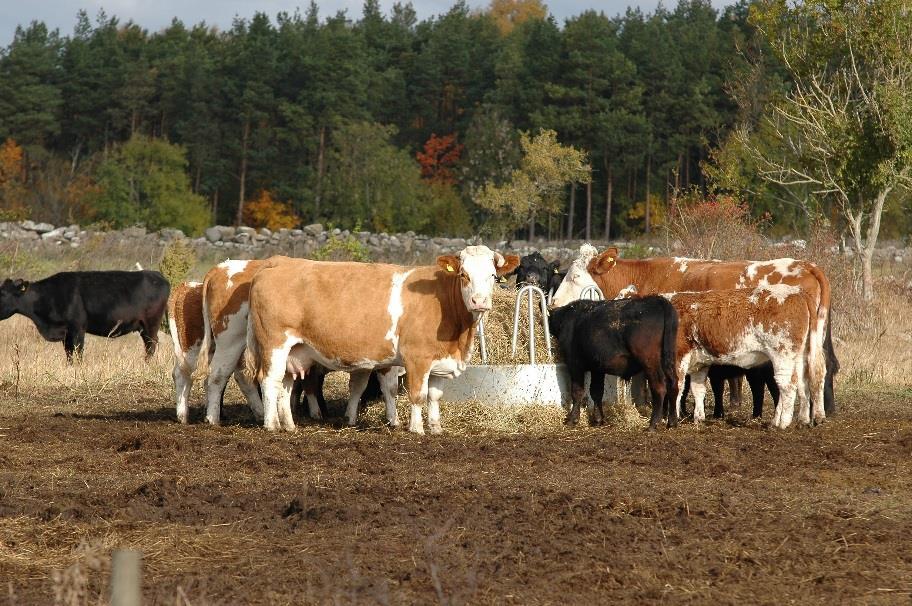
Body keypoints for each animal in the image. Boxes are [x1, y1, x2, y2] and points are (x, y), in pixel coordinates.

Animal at [1, 270, 171, 360]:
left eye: (3, 293)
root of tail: (157, 274)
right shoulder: (66, 333)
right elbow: (69, 354)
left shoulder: (78, 328)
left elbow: (78, 353)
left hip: (151, 323)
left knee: (151, 345)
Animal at [246, 245, 520, 434]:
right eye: (464, 274)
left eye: (493, 276)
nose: (479, 301)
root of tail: (277, 262)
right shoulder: (417, 358)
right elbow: (418, 395)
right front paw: (417, 429)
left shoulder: (441, 361)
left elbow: (434, 396)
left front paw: (436, 428)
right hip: (274, 344)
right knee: (270, 381)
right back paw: (272, 425)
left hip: (295, 350)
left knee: (286, 384)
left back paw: (289, 425)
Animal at [544, 298, 680, 432]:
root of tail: (657, 300)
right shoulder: (597, 368)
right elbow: (596, 392)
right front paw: (598, 419)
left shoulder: (574, 364)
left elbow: (577, 391)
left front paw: (572, 419)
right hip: (668, 360)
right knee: (673, 385)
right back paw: (672, 422)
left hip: (649, 362)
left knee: (659, 387)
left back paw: (653, 424)